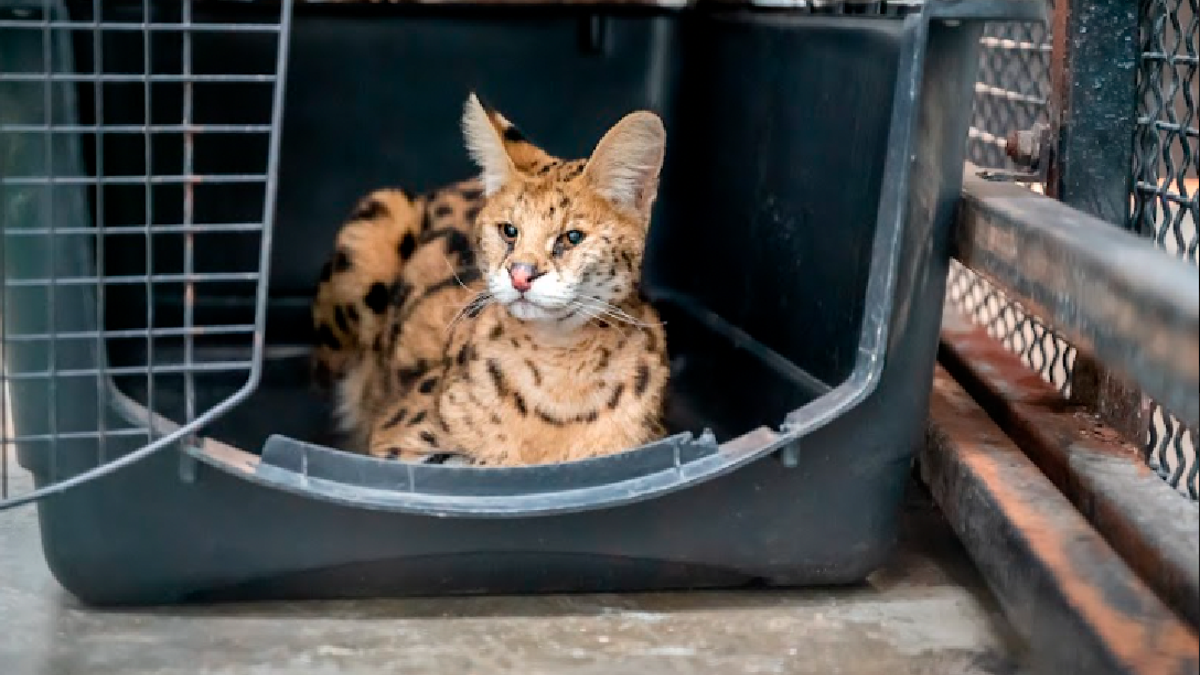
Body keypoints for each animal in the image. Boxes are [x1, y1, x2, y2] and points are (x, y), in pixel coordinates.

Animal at [309, 93, 672, 461]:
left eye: (572, 237)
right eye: (509, 230)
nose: (520, 275)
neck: (559, 360)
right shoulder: (395, 438)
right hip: (378, 216)